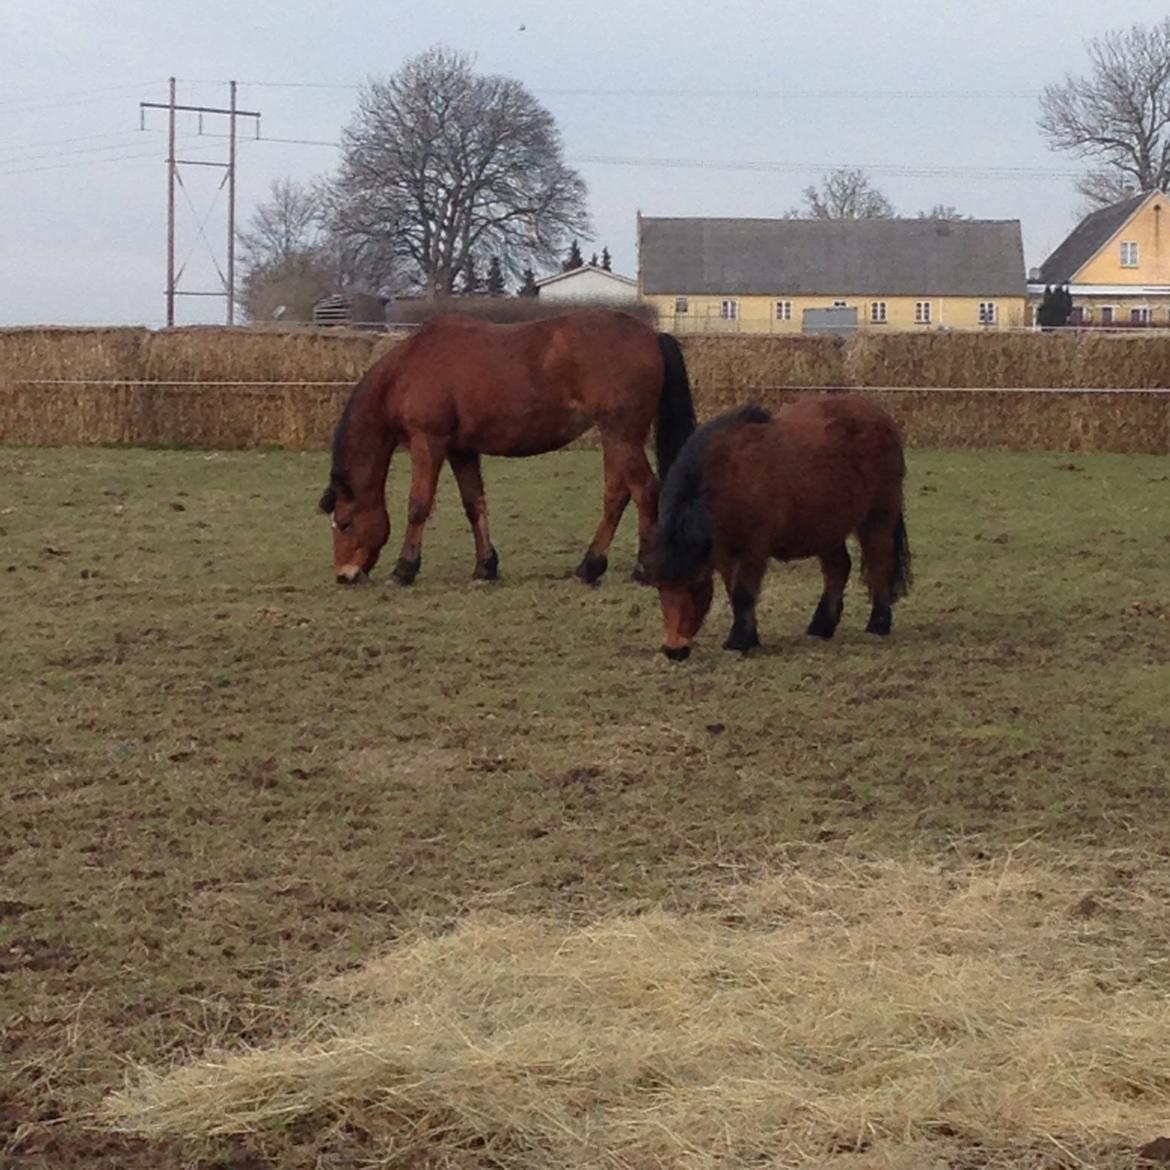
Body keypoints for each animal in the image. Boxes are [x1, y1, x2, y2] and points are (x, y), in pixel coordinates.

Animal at [318, 308, 692, 585]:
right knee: (617, 495)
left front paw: (404, 569)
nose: (344, 575)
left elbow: (418, 506)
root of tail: (651, 336)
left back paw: (643, 568)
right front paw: (485, 566)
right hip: (617, 438)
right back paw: (590, 565)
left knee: (645, 491)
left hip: (621, 435)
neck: (408, 369)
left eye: (346, 523)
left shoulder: (429, 442)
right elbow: (474, 504)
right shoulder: (461, 450)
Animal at [655, 395, 907, 659]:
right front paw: (749, 636)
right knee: (838, 569)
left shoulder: (754, 548)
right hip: (827, 529)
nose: (674, 650)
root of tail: (880, 415)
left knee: (879, 564)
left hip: (877, 519)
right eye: (660, 588)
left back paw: (878, 623)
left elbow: (743, 593)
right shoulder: (724, 552)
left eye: (695, 586)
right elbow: (733, 592)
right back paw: (821, 626)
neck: (729, 473)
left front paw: (739, 641)